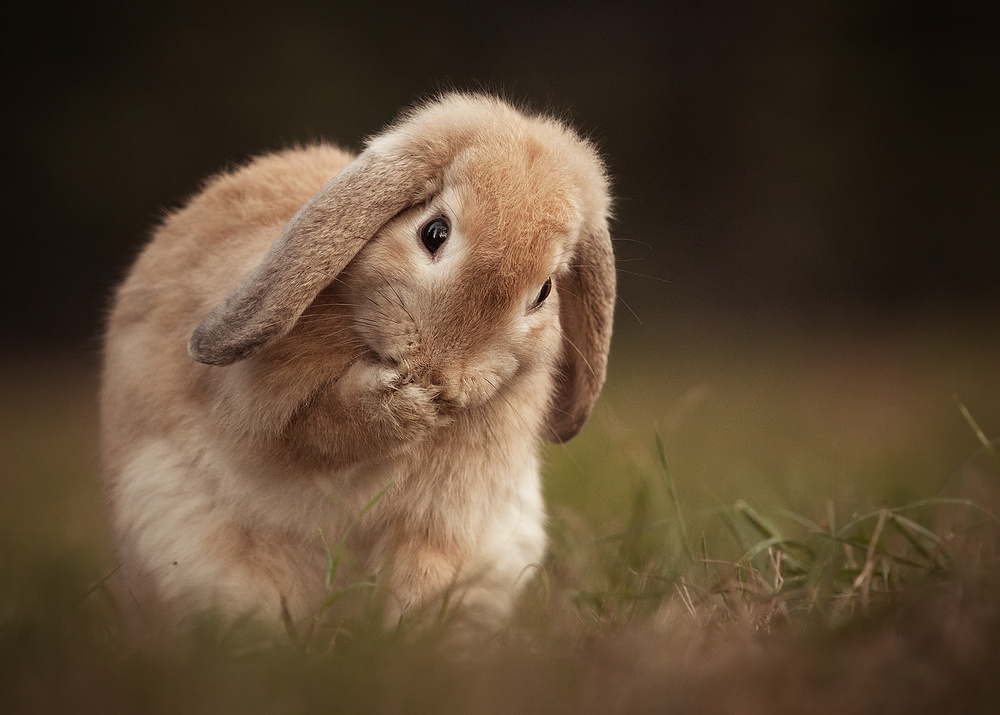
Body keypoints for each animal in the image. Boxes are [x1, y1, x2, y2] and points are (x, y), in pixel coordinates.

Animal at [100, 93, 616, 644]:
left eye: (545, 290)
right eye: (434, 232)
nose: (440, 372)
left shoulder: (440, 524)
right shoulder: (261, 407)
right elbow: (320, 429)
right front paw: (409, 405)